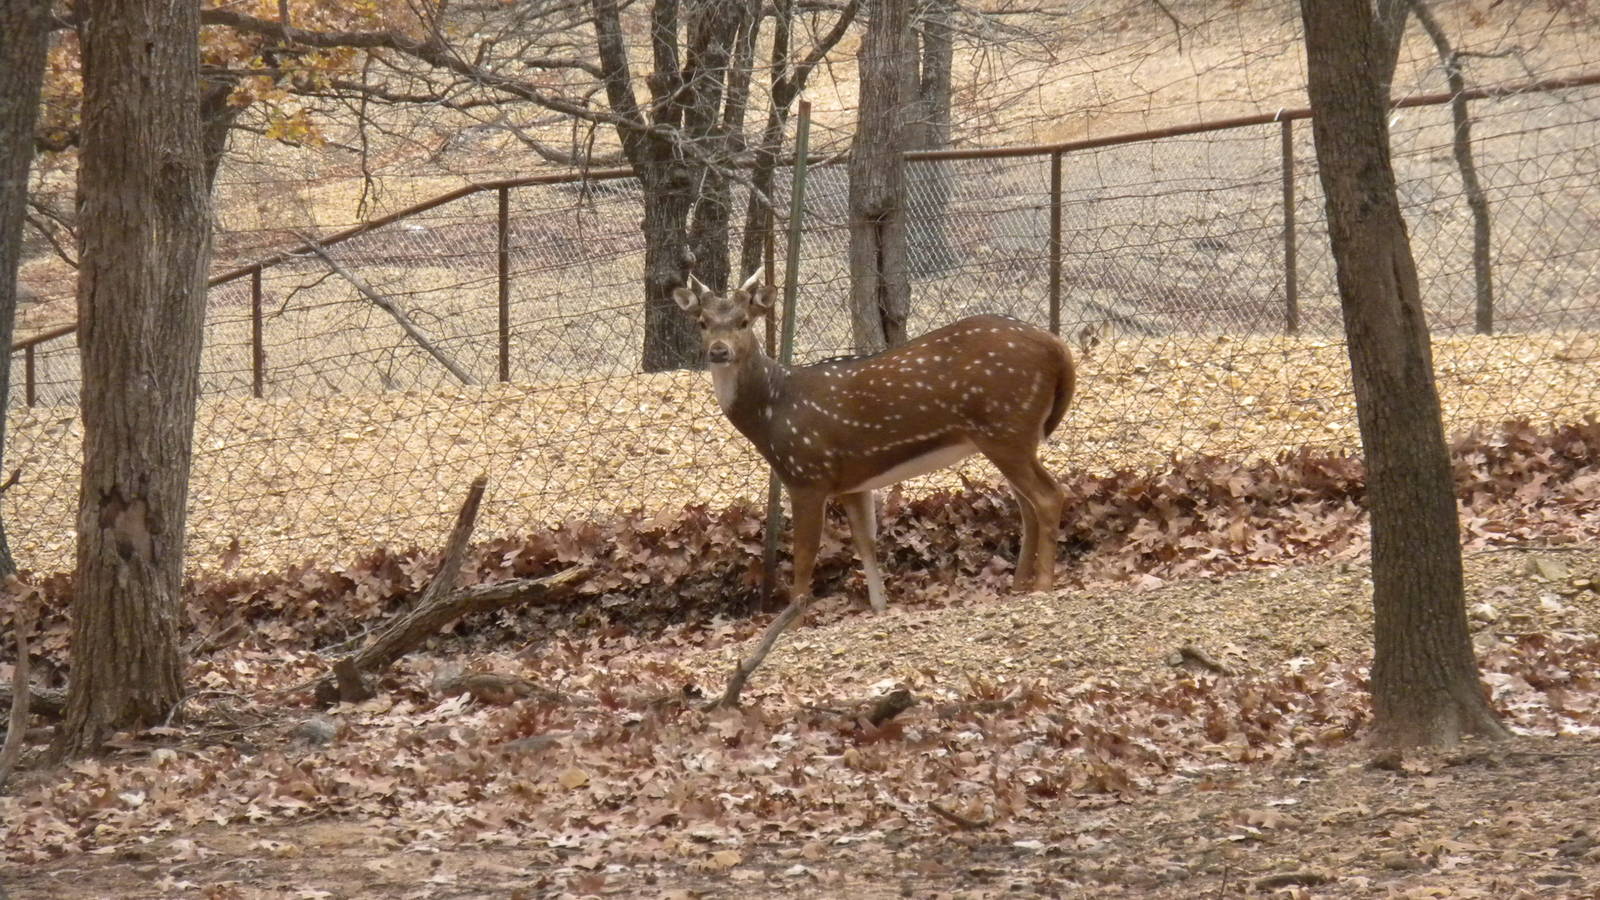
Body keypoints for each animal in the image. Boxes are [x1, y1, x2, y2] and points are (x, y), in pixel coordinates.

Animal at [674, 269, 1076, 707]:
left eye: (744, 322)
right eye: (703, 323)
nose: (719, 351)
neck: (773, 414)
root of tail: (1058, 346)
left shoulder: (807, 474)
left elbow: (804, 555)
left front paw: (792, 625)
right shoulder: (852, 483)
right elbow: (866, 542)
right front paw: (880, 608)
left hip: (1006, 426)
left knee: (1048, 495)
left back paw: (1043, 586)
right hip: (1012, 435)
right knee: (1026, 505)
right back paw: (1018, 586)